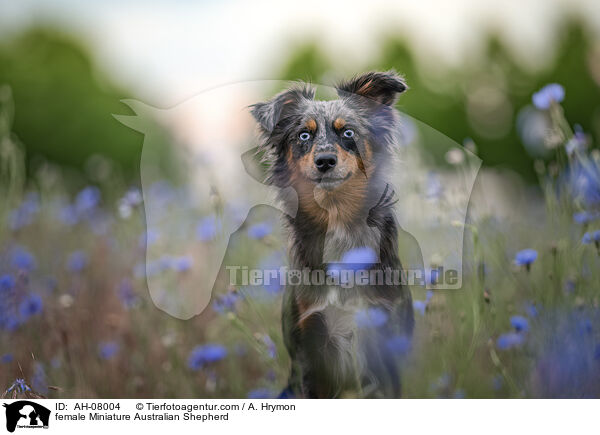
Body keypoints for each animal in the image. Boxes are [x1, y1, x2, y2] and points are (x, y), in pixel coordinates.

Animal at [251, 71, 414, 398]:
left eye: (348, 132)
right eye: (304, 136)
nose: (325, 161)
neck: (337, 220)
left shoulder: (383, 336)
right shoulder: (308, 345)